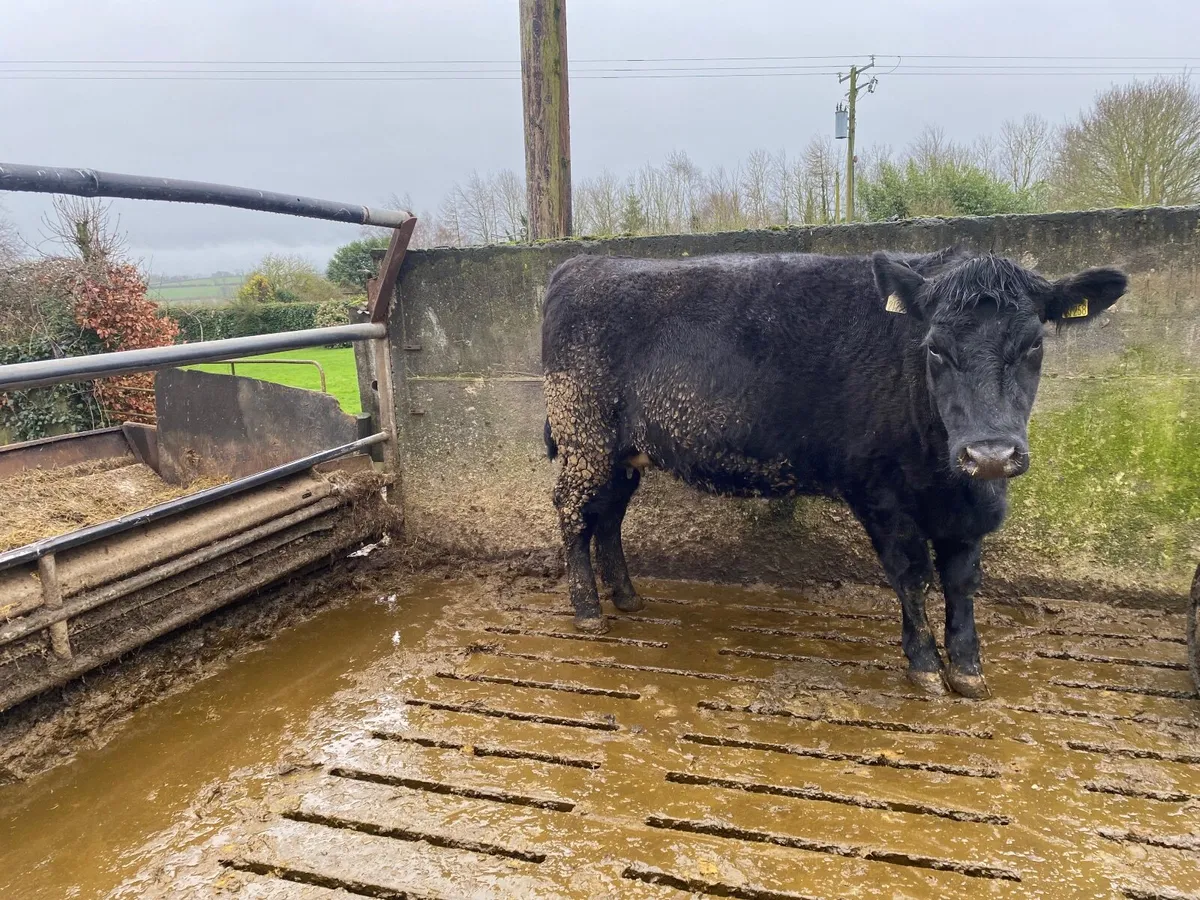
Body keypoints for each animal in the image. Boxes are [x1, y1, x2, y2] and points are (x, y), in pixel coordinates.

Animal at [541, 246, 1127, 699]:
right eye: (935, 348)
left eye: (1034, 344)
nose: (989, 454)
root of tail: (583, 263)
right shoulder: (878, 492)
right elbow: (912, 575)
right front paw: (925, 666)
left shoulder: (969, 508)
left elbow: (962, 581)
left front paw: (968, 671)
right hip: (584, 435)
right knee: (573, 512)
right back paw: (588, 609)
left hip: (622, 453)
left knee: (609, 515)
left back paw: (626, 596)